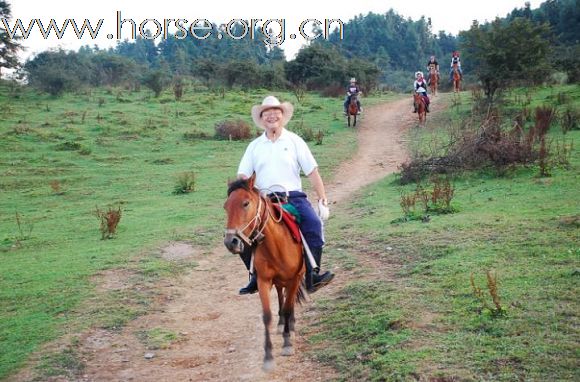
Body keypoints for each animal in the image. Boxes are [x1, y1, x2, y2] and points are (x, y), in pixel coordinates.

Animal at [222, 175, 306, 372]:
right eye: (225, 206)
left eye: (245, 203)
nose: (231, 242)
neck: (277, 245)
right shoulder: (263, 281)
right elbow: (267, 315)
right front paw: (268, 356)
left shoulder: (294, 279)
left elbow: (289, 308)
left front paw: (287, 344)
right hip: (278, 281)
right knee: (281, 297)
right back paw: (282, 324)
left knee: (289, 302)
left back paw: (290, 325)